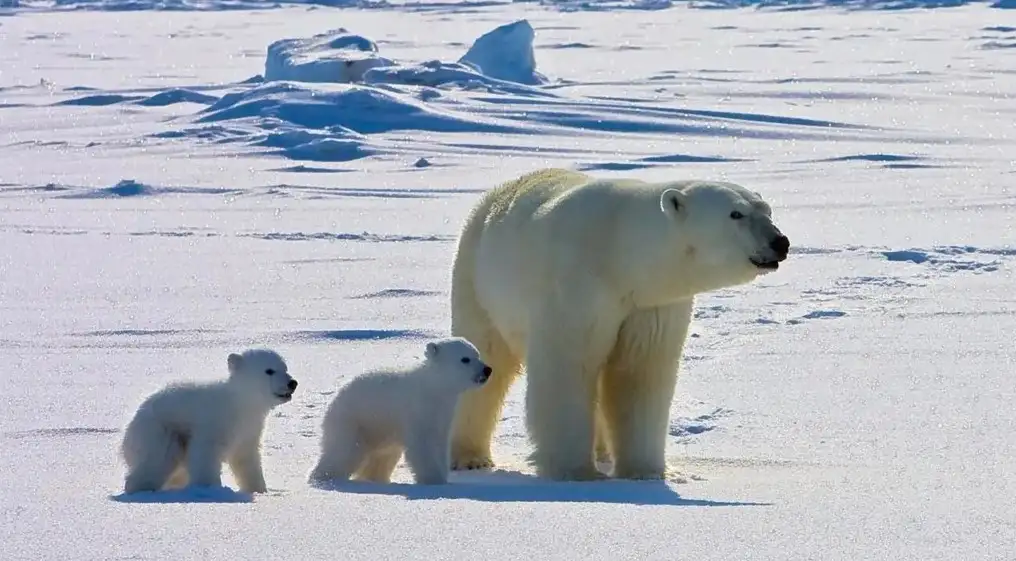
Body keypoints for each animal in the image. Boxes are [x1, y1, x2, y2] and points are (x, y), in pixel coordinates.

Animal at [119, 347, 296, 493]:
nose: (292, 383)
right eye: (269, 370)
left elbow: (246, 459)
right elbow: (205, 454)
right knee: (157, 459)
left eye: (285, 368)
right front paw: (209, 488)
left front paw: (259, 490)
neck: (238, 404)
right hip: (161, 430)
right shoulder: (214, 423)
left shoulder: (249, 429)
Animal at [308, 337, 491, 485]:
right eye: (465, 359)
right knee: (343, 452)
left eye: (477, 354)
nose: (487, 370)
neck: (432, 389)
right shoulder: (417, 410)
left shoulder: (443, 414)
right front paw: (433, 480)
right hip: (354, 421)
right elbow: (421, 446)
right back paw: (323, 477)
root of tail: (333, 403)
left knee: (382, 458)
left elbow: (439, 444)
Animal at [449, 167, 788, 481]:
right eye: (735, 213)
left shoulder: (651, 303)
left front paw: (646, 472)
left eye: (767, 210)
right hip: (478, 282)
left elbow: (640, 373)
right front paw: (576, 472)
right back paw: (469, 457)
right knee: (486, 355)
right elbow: (569, 368)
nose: (780, 242)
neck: (620, 254)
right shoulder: (577, 287)